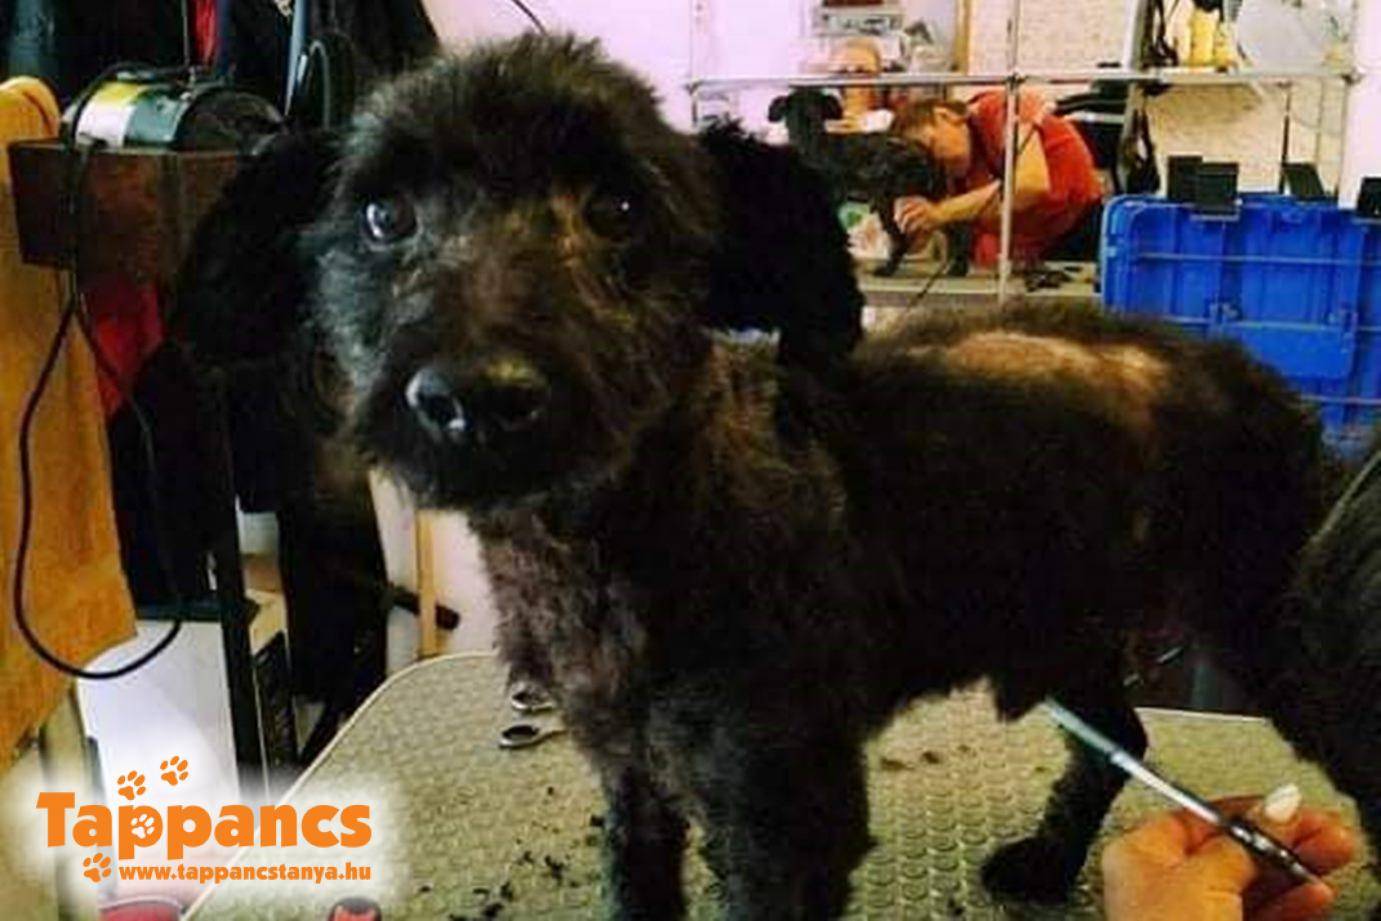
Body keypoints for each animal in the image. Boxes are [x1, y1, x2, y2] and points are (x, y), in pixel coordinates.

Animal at [767, 88, 969, 278]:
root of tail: (925, 155)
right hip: (929, 198)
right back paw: (958, 268)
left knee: (902, 239)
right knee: (955, 229)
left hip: (885, 200)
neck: (811, 138)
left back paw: (887, 270)